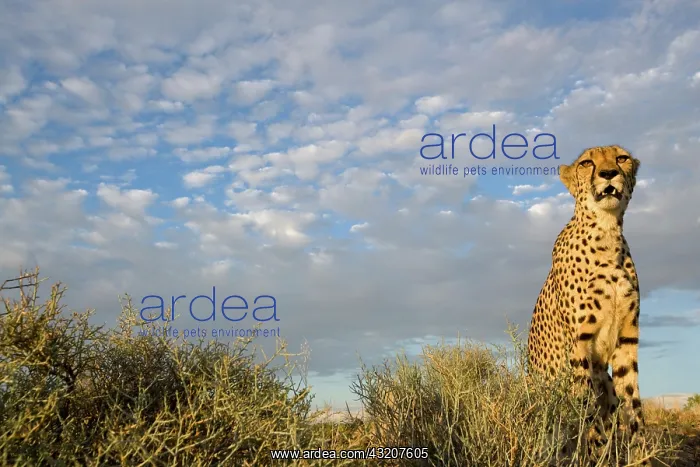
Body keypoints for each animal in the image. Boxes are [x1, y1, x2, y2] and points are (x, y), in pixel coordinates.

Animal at [527, 145, 649, 466]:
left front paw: (642, 454)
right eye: (586, 163)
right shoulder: (580, 344)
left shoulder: (627, 341)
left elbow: (633, 405)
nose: (608, 173)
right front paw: (590, 449)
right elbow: (584, 408)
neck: (606, 232)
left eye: (621, 158)